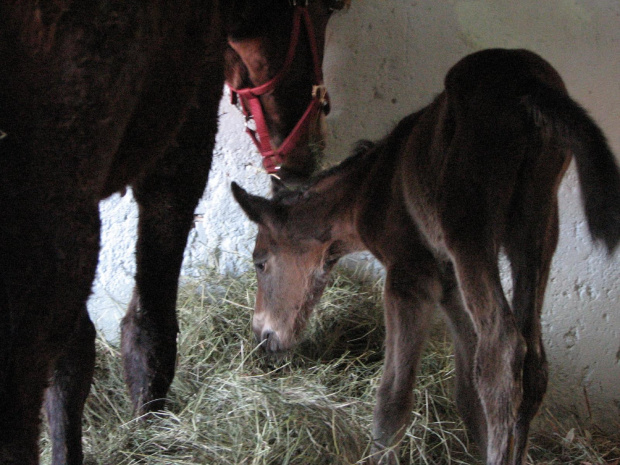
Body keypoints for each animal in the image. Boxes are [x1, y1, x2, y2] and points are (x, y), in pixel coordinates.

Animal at [0, 0, 348, 464]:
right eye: (326, 8)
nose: (306, 159)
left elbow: (72, 359)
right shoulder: (181, 141)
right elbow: (148, 329)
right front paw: (149, 430)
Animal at [232, 48, 620, 464]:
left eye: (260, 262)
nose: (263, 336)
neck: (371, 187)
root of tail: (525, 80)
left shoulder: (410, 277)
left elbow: (394, 396)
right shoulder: (448, 284)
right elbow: (468, 392)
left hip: (469, 231)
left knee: (502, 352)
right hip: (537, 228)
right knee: (530, 361)